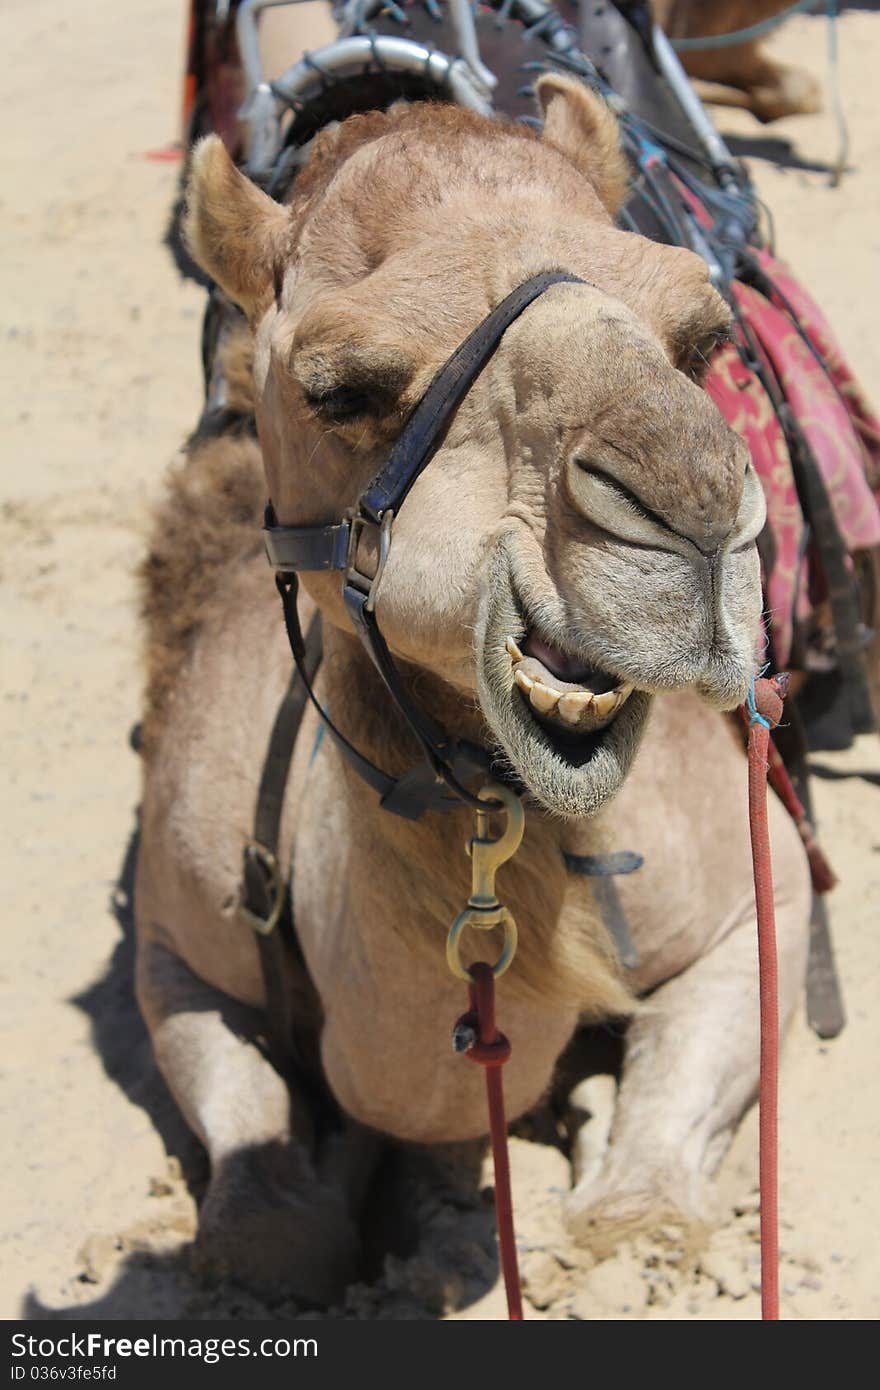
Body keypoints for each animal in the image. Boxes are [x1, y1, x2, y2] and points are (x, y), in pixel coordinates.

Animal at [135, 78, 811, 1301]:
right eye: (340, 388)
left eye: (702, 336)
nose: (690, 510)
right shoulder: (172, 933)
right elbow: (265, 1215)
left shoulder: (763, 892)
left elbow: (646, 1189)